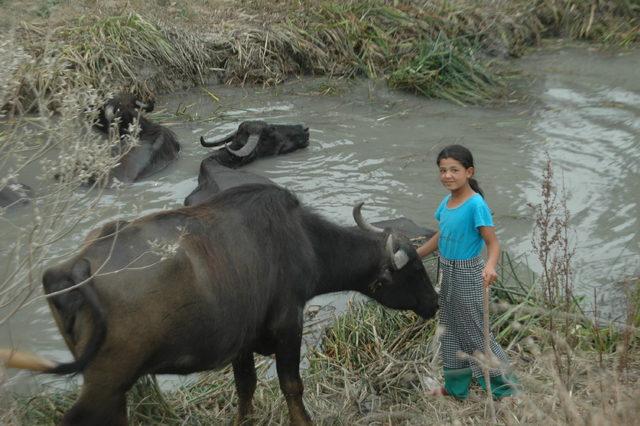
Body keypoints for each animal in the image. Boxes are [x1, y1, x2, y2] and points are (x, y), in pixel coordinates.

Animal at [8, 185, 440, 426]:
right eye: (417, 269)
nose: (435, 303)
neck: (304, 243)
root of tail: (75, 265)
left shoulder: (242, 342)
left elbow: (245, 389)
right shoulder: (289, 326)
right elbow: (292, 386)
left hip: (112, 384)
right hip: (106, 379)